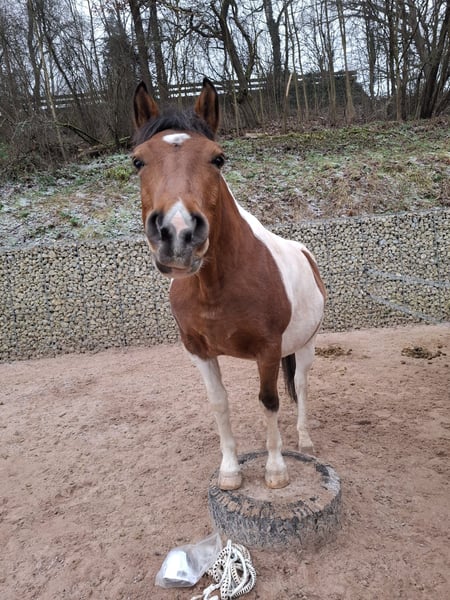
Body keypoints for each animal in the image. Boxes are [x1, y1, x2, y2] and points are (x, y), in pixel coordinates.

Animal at [132, 78, 326, 491]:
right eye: (138, 160)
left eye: (217, 158)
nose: (178, 233)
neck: (214, 287)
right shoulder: (199, 351)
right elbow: (219, 404)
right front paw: (230, 471)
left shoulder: (268, 350)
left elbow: (269, 400)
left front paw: (276, 471)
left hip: (307, 343)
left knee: (301, 386)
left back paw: (304, 440)